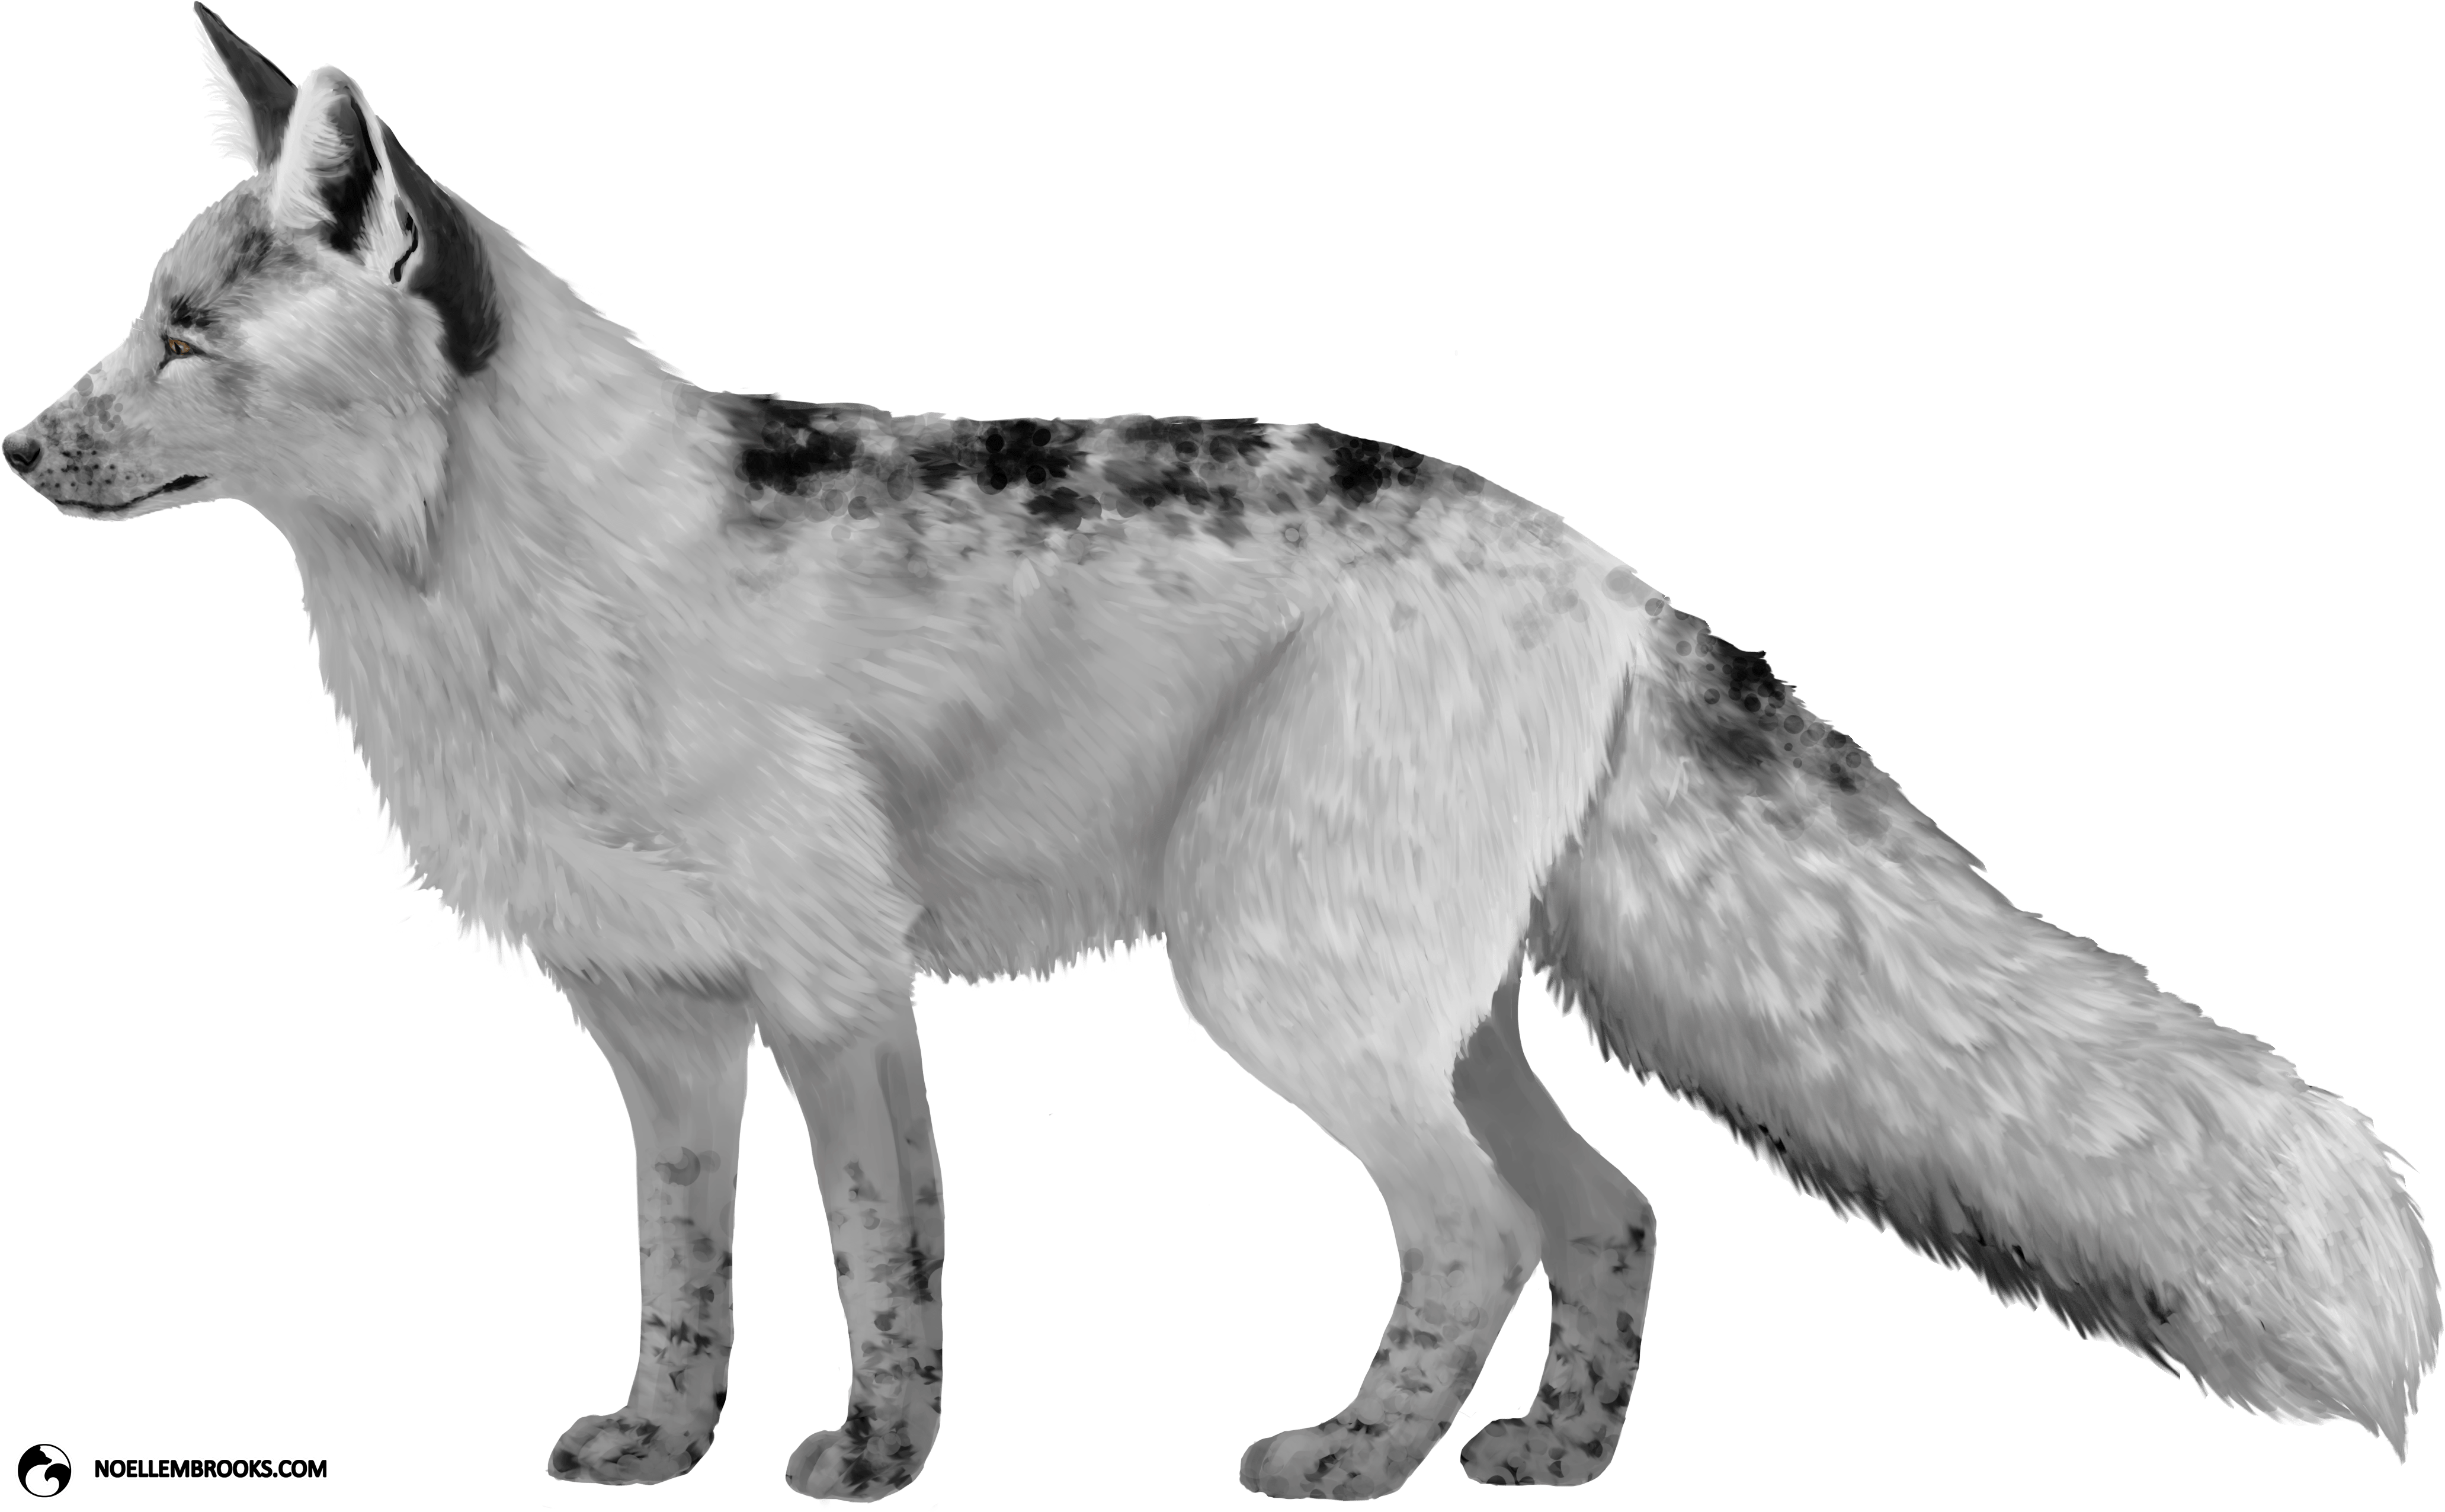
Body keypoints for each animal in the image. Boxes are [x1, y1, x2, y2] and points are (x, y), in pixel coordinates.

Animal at [8, 5, 2435, 1500]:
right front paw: (660, 1447)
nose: (15, 448)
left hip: (1278, 989)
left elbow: (886, 1267)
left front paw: (874, 1470)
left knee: (1476, 1233)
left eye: (189, 340)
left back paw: (1353, 1467)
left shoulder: (834, 989)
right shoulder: (660, 1031)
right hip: (1412, 1010)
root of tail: (1599, 563)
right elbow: (681, 1281)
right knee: (1616, 1213)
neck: (513, 593)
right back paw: (1545, 1462)